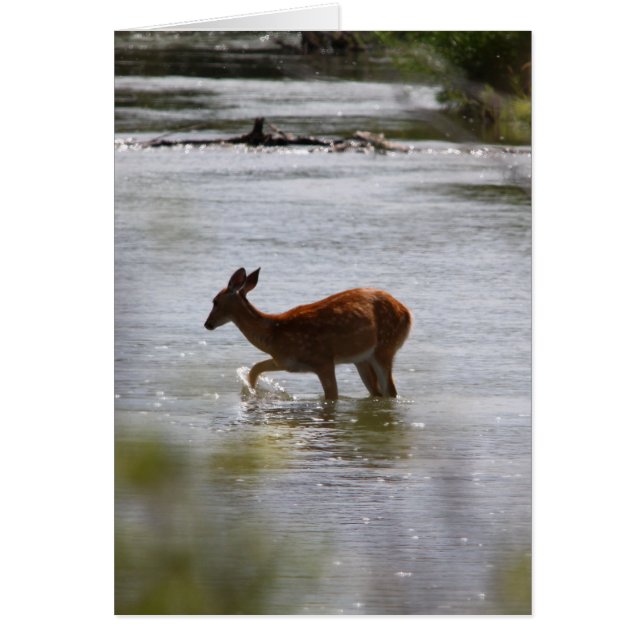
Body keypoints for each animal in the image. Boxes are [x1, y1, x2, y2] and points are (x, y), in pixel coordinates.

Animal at [204, 268, 412, 400]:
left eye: (215, 301)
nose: (207, 324)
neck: (274, 333)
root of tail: (408, 313)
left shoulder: (323, 360)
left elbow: (331, 397)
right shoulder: (285, 362)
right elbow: (255, 368)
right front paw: (252, 393)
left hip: (385, 346)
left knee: (390, 391)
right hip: (361, 359)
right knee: (377, 392)